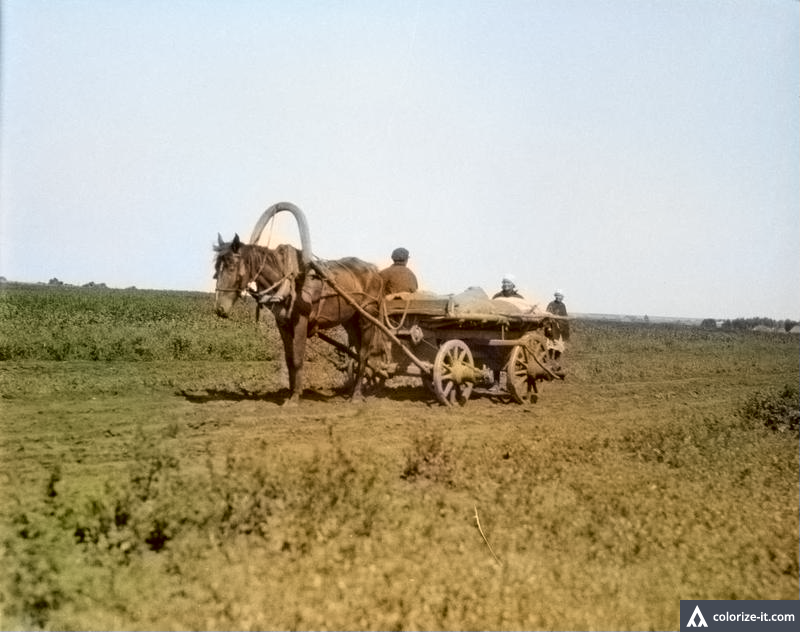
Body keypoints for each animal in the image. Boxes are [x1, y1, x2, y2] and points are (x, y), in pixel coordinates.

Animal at [214, 233, 386, 404]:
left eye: (231, 266)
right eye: (216, 269)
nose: (219, 308)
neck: (287, 281)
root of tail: (375, 271)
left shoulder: (301, 322)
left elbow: (297, 358)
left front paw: (295, 397)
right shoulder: (283, 324)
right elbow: (289, 359)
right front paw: (290, 392)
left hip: (367, 319)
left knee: (363, 355)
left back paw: (356, 396)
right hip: (350, 321)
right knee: (357, 352)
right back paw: (355, 389)